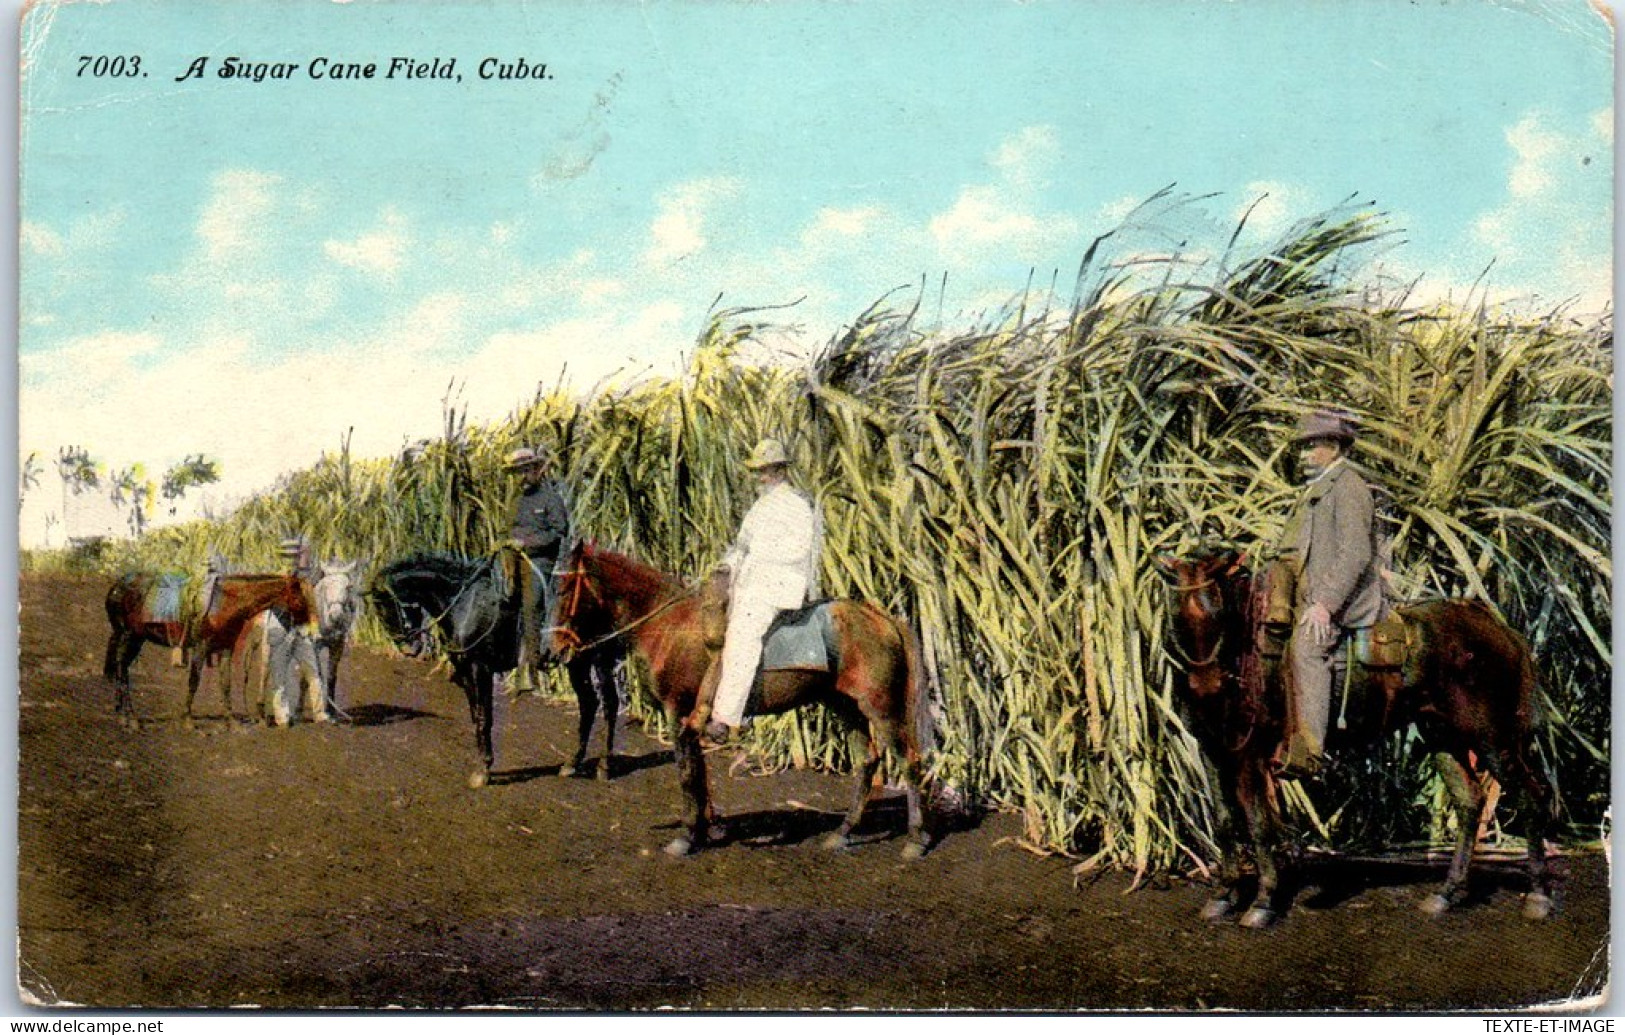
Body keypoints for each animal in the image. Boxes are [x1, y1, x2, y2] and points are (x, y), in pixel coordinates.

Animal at [104, 568, 316, 731]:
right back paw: (131, 718)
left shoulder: (226, 649)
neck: (226, 602)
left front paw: (232, 722)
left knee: (121, 668)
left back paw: (123, 715)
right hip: (129, 636)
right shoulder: (201, 646)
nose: (309, 630)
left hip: (134, 638)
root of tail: (116, 587)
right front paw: (187, 720)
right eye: (300, 599)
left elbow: (226, 683)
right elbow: (194, 681)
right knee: (121, 668)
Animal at [368, 549, 620, 783]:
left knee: (608, 704)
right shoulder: (465, 671)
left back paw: (604, 767)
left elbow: (484, 717)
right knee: (590, 703)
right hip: (578, 662)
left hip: (597, 659)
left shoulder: (480, 669)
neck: (463, 603)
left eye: (386, 605)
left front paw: (483, 771)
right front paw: (483, 764)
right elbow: (476, 716)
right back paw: (572, 763)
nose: (409, 648)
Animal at [552, 536, 936, 857]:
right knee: (868, 760)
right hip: (846, 706)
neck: (670, 625)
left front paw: (688, 837)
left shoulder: (678, 712)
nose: (556, 650)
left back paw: (916, 839)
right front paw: (708, 829)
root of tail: (881, 618)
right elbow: (699, 772)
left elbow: (687, 773)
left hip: (881, 707)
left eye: (565, 587)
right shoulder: (691, 720)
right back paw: (843, 832)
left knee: (909, 760)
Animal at [1163, 549, 1553, 929]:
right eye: (1177, 617)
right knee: (1469, 801)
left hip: (1491, 736)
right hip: (1443, 734)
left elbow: (1258, 823)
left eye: (1219, 613)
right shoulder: (1211, 750)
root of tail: (1502, 629)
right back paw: (1446, 894)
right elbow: (1225, 820)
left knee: (1530, 794)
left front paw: (1262, 902)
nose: (1206, 686)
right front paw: (1223, 896)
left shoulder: (1251, 753)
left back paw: (1538, 896)